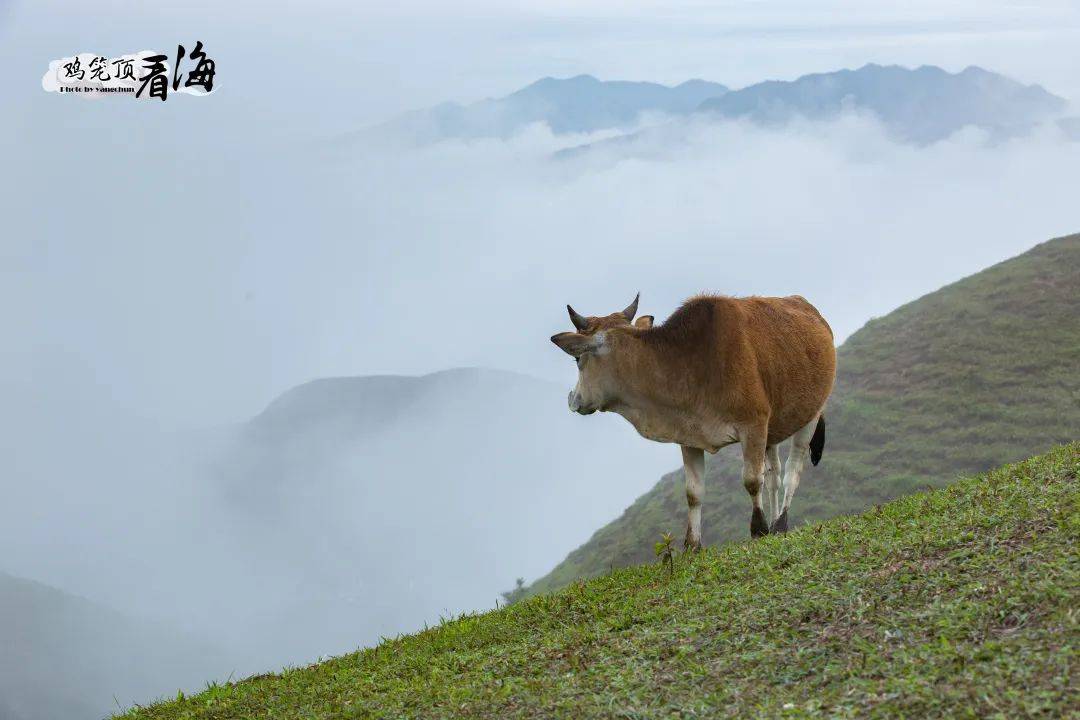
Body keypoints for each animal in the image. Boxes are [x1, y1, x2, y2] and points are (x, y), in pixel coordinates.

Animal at [548, 293, 833, 546]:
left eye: (577, 358)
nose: (573, 399)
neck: (691, 362)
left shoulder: (753, 426)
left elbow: (752, 480)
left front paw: (759, 529)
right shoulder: (689, 436)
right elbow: (694, 493)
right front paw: (692, 545)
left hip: (810, 415)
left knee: (792, 471)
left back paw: (780, 523)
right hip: (772, 432)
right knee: (774, 475)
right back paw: (775, 523)